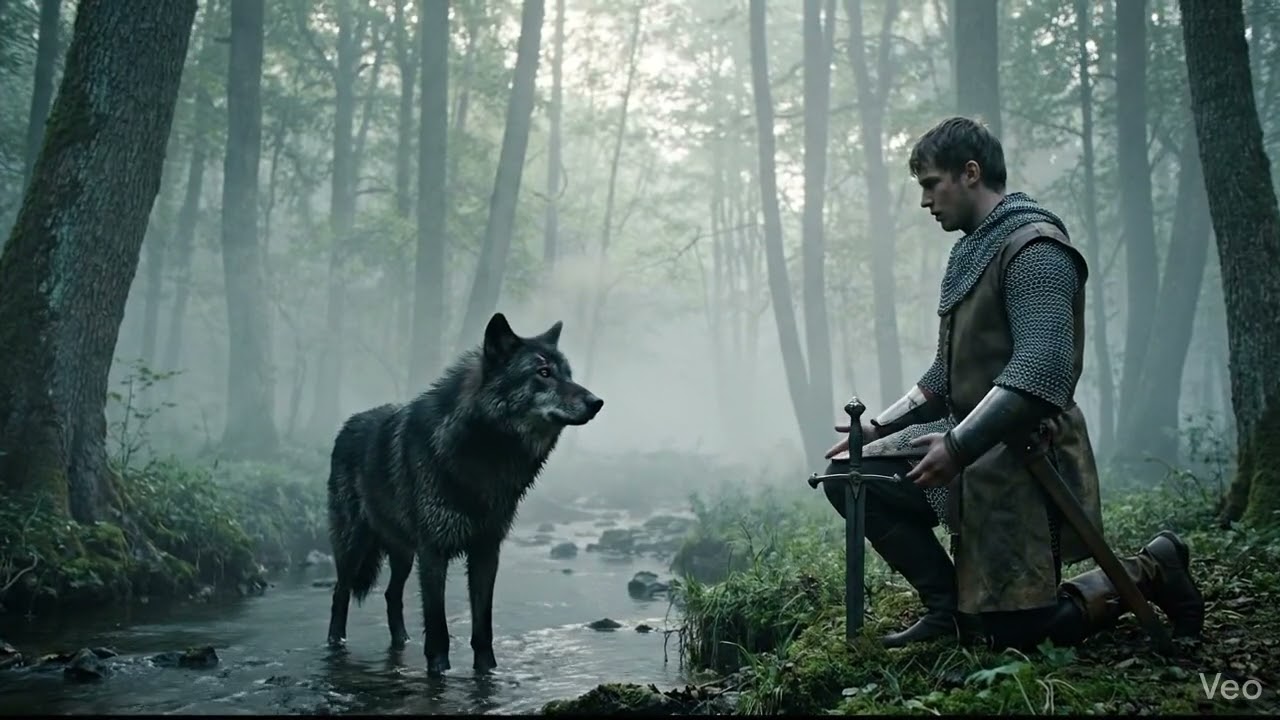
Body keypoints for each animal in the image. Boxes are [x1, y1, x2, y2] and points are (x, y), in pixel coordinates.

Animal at [324, 312, 604, 676]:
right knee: (340, 593)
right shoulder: (433, 552)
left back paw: (402, 642)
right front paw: (438, 670)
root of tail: (347, 424)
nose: (597, 402)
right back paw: (335, 644)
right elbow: (437, 626)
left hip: (403, 553)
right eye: (543, 373)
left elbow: (483, 627)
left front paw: (487, 671)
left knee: (390, 595)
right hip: (354, 546)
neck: (485, 453)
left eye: (568, 373)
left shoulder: (486, 551)